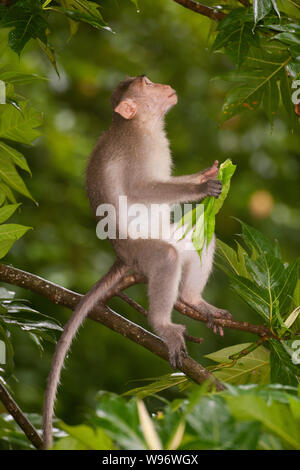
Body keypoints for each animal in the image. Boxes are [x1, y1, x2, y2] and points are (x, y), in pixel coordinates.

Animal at [42, 75, 231, 450]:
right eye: (147, 83)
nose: (164, 84)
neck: (144, 126)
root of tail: (121, 256)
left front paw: (205, 173)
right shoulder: (137, 150)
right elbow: (141, 189)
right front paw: (201, 188)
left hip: (173, 237)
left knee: (201, 236)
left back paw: (194, 301)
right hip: (142, 250)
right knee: (167, 258)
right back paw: (163, 325)